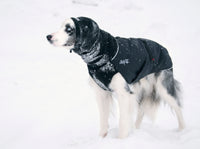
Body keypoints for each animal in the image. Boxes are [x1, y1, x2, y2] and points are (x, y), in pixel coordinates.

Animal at [46, 16, 185, 138]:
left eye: (69, 29)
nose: (48, 37)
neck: (103, 55)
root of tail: (163, 49)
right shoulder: (102, 93)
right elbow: (103, 120)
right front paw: (101, 139)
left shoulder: (123, 93)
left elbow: (123, 121)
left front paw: (121, 140)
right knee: (141, 111)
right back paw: (136, 130)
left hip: (163, 88)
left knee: (178, 107)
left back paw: (182, 130)